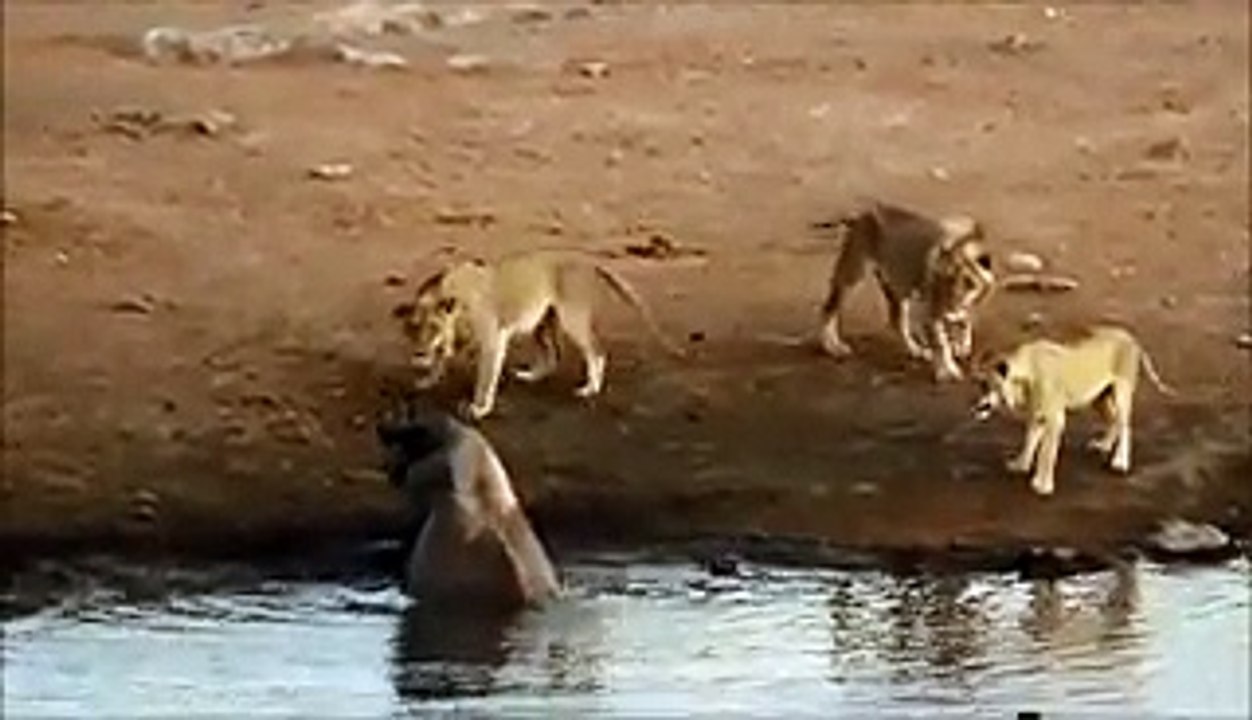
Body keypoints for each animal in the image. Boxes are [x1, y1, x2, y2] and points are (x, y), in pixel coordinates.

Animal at [392, 250, 684, 420]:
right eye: (413, 327)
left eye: (433, 327)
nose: (419, 352)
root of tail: (585, 261)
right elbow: (440, 360)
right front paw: (428, 379)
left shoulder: (493, 340)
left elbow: (485, 379)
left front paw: (479, 408)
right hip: (542, 323)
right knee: (553, 355)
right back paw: (531, 376)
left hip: (572, 318)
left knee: (596, 351)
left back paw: (589, 389)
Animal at [815, 201, 995, 381]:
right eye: (948, 280)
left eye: (969, 283)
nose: (951, 307)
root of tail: (861, 215)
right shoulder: (931, 310)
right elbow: (941, 344)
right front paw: (947, 371)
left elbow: (965, 322)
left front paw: (962, 346)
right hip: (854, 276)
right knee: (828, 309)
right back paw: (833, 347)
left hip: (897, 287)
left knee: (897, 321)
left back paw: (916, 350)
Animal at [970, 325, 1174, 496]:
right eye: (981, 385)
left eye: (987, 384)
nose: (979, 405)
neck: (1023, 378)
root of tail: (1130, 337)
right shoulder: (1037, 414)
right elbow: (1030, 440)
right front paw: (1020, 465)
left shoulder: (1055, 418)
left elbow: (1047, 452)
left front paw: (1042, 485)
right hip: (1099, 398)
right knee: (1113, 419)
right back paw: (1103, 445)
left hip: (1122, 390)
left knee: (1125, 424)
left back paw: (1120, 462)